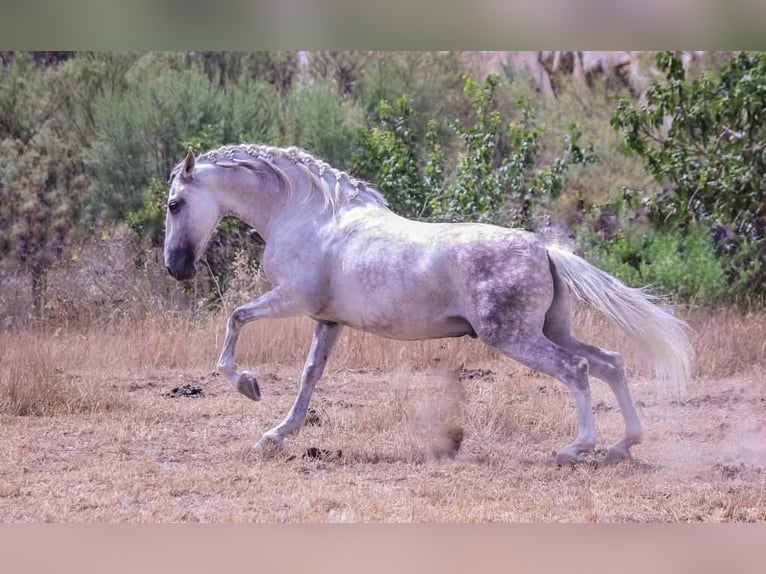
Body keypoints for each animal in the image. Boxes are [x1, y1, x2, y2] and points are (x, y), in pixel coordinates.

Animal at [164, 144, 693, 465]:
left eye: (173, 204)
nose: (175, 267)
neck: (307, 215)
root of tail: (544, 248)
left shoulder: (293, 299)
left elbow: (236, 319)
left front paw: (248, 386)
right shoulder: (328, 320)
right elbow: (310, 375)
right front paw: (276, 434)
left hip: (515, 336)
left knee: (576, 369)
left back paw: (575, 448)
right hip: (551, 328)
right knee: (610, 363)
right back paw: (622, 446)